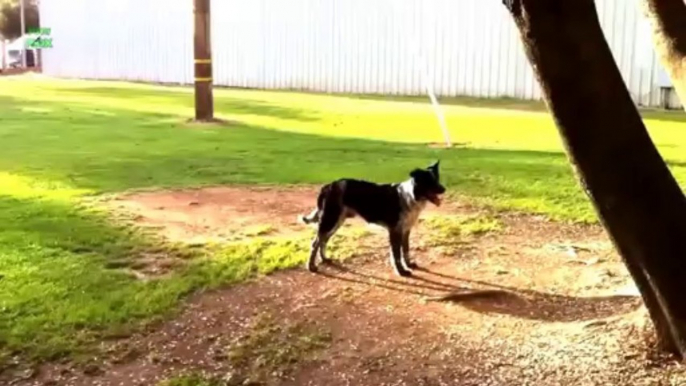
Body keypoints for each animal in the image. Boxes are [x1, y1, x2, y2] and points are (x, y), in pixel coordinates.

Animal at [300, 161, 448, 276]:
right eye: (429, 182)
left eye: (437, 179)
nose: (444, 189)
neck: (411, 196)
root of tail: (329, 185)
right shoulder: (395, 231)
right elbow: (396, 255)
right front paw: (401, 272)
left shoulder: (406, 230)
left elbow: (405, 250)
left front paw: (409, 264)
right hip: (330, 220)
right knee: (315, 243)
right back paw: (311, 267)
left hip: (336, 222)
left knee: (323, 241)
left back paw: (324, 259)